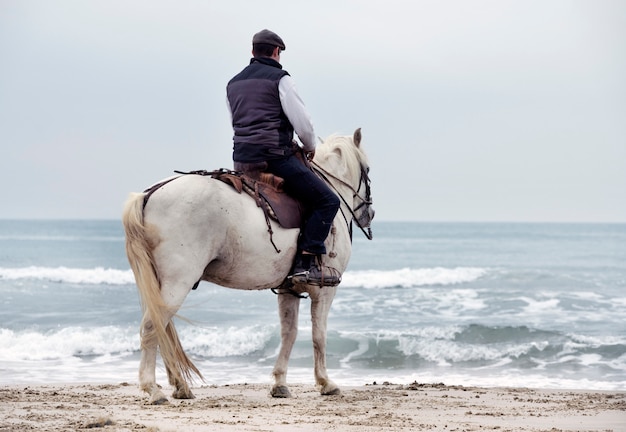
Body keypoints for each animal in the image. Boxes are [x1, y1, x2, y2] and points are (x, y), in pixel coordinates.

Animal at [124, 128, 372, 404]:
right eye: (367, 170)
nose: (369, 214)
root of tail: (151, 193)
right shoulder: (326, 291)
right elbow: (319, 335)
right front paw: (326, 382)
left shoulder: (288, 289)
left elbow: (289, 333)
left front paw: (280, 383)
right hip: (178, 282)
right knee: (152, 325)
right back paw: (153, 389)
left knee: (162, 327)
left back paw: (180, 386)